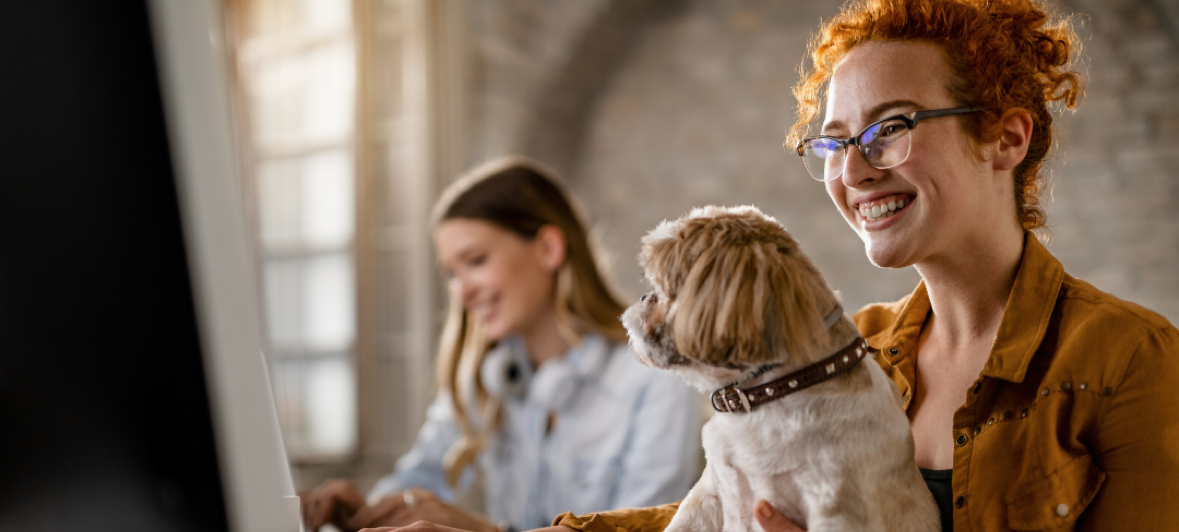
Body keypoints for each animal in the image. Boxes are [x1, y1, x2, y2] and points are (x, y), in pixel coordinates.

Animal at [622, 207, 933, 532]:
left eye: (663, 288)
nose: (643, 297)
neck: (772, 393)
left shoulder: (836, 508)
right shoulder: (709, 492)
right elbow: (684, 522)